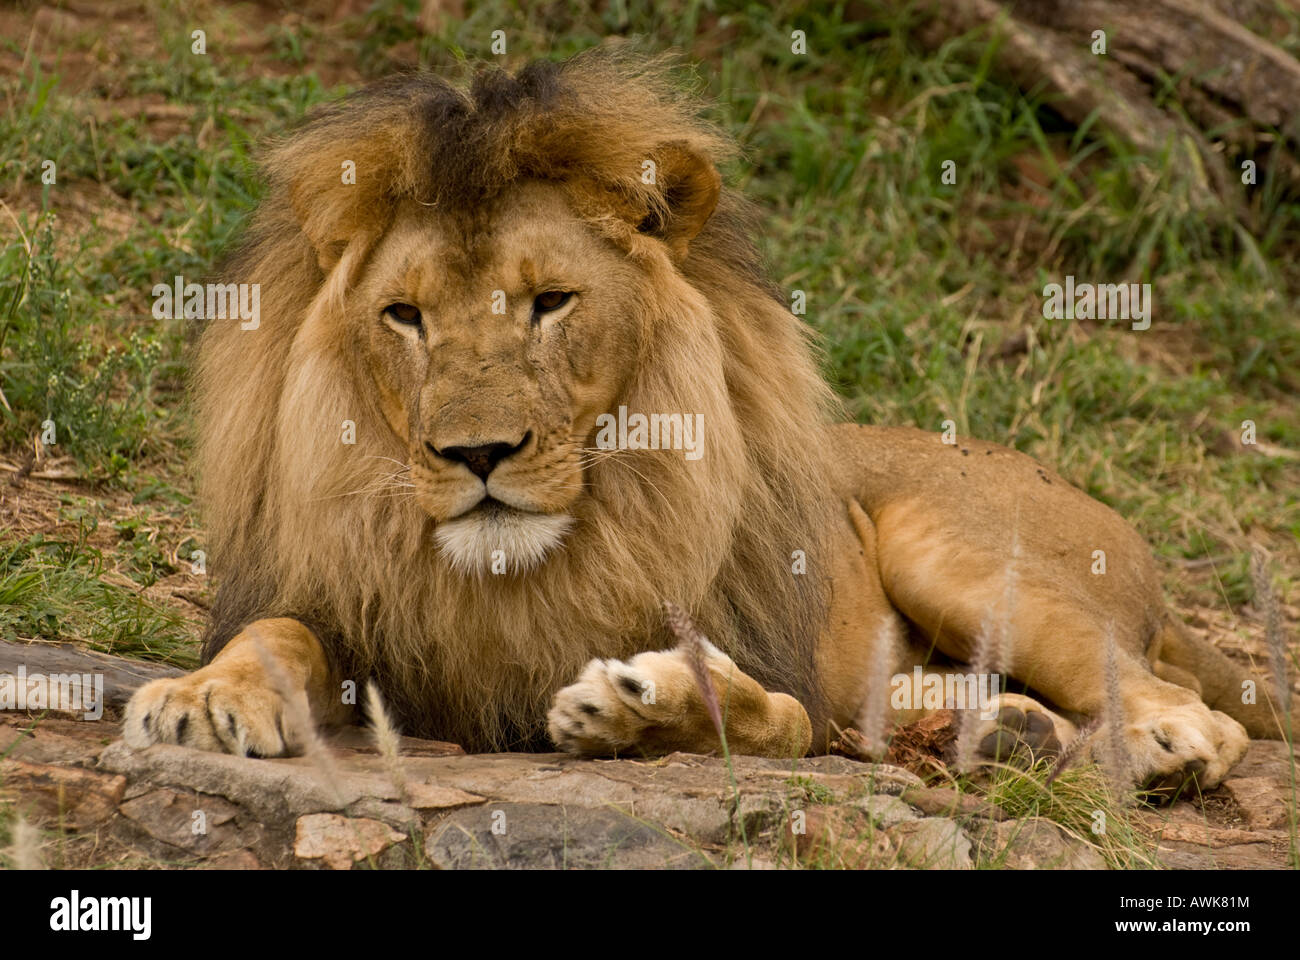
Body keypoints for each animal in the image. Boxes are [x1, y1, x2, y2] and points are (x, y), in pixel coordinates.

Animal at [126, 48, 1284, 790]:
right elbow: (276, 633)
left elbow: (765, 715)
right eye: (403, 316)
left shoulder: (785, 681)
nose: (478, 453)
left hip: (952, 547)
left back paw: (1146, 751)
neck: (522, 574)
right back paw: (1006, 736)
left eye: (551, 302)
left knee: (1174, 702)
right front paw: (203, 696)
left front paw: (646, 707)